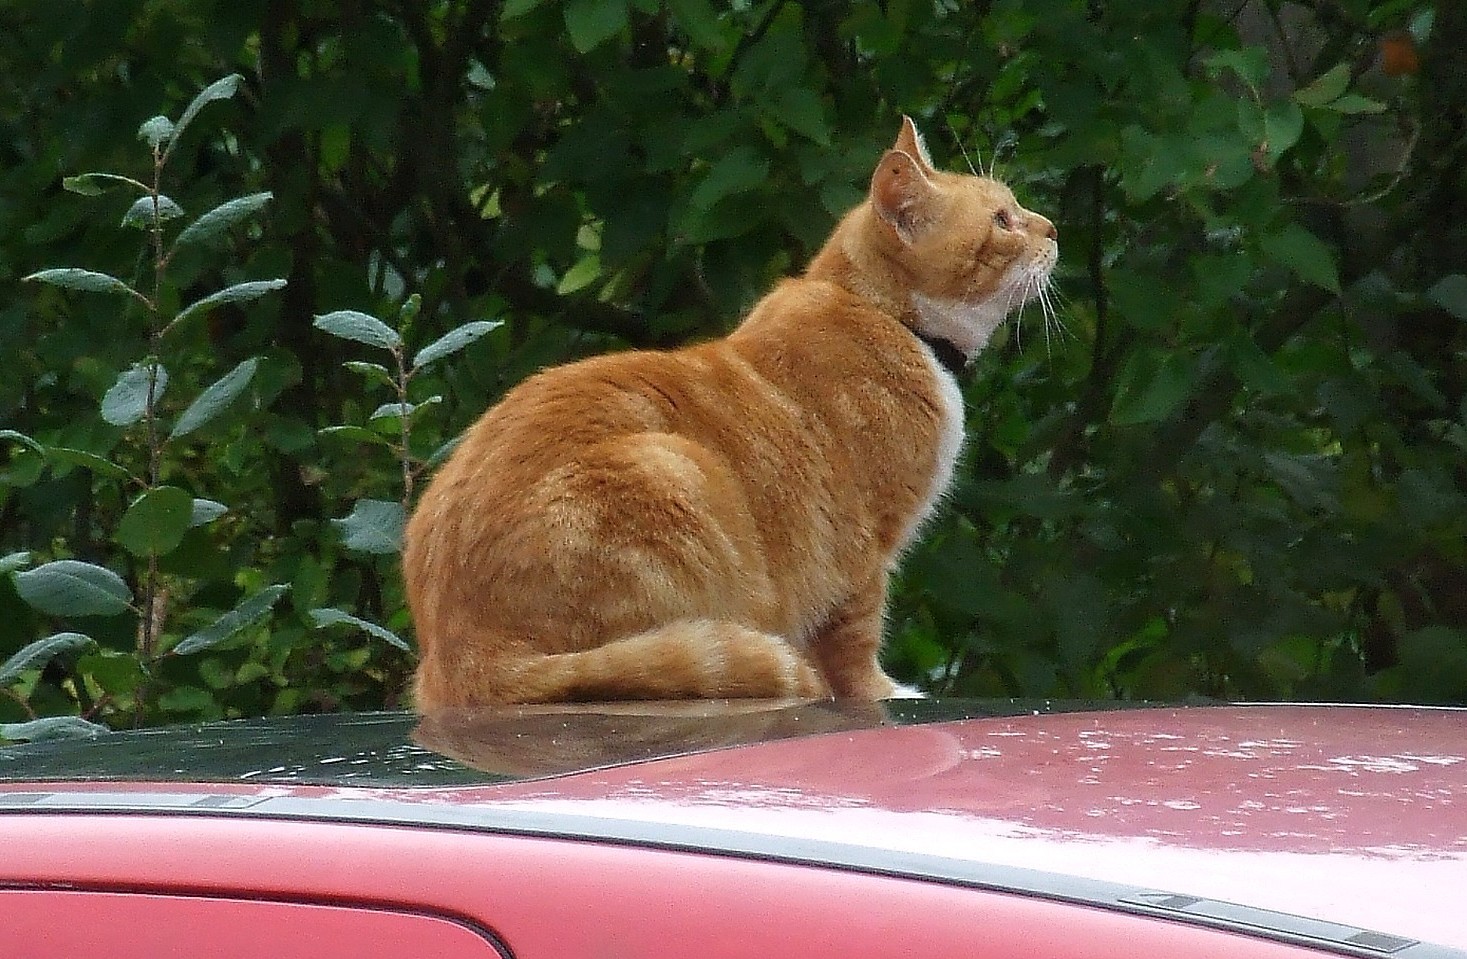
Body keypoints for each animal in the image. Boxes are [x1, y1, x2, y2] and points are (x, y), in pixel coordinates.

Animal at [407, 116, 1062, 709]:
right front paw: (882, 692)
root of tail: (457, 652)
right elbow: (854, 642)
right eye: (1002, 220)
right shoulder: (861, 545)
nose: (1054, 230)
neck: (888, 317)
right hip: (670, 471)